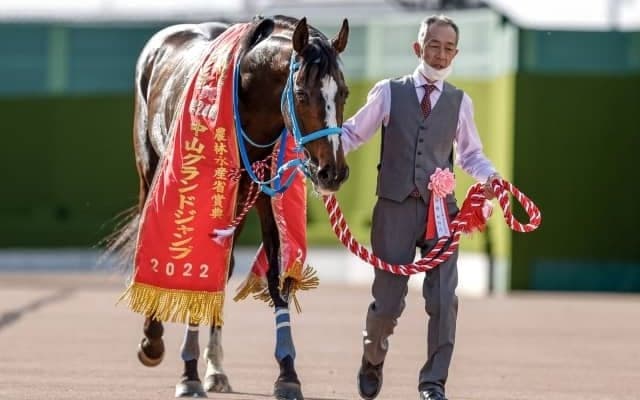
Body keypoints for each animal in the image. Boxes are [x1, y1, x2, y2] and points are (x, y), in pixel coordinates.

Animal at [111, 15, 350, 399]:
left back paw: (215, 368)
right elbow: (194, 269)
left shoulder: (264, 191)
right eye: (301, 94)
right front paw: (188, 373)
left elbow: (273, 276)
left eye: (342, 92)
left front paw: (287, 374)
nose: (332, 171)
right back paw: (153, 340)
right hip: (149, 172)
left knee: (223, 268)